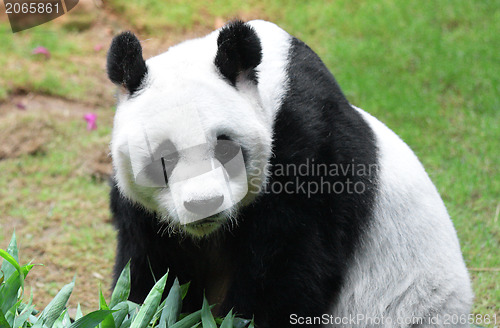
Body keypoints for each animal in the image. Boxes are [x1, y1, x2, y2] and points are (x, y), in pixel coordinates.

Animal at [106, 19, 472, 326]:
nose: (203, 204)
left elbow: (286, 272)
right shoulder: (145, 214)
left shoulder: (311, 153)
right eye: (164, 158)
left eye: (224, 149)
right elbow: (150, 273)